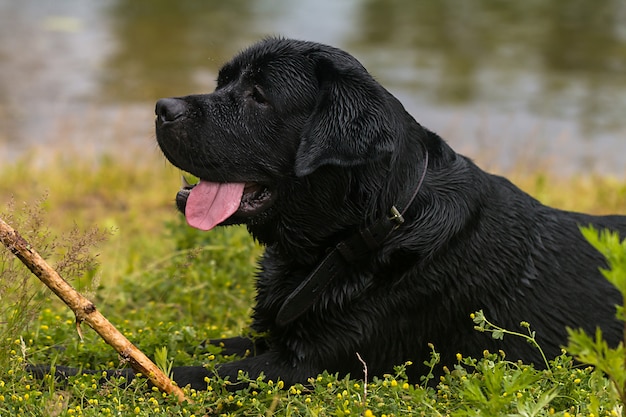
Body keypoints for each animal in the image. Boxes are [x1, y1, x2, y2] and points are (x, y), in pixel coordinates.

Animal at [33, 38, 624, 390]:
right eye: (224, 82)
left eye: (258, 96)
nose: (162, 108)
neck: (368, 232)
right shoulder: (269, 337)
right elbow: (173, 346)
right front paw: (62, 347)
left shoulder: (303, 365)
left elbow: (177, 371)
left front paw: (51, 369)